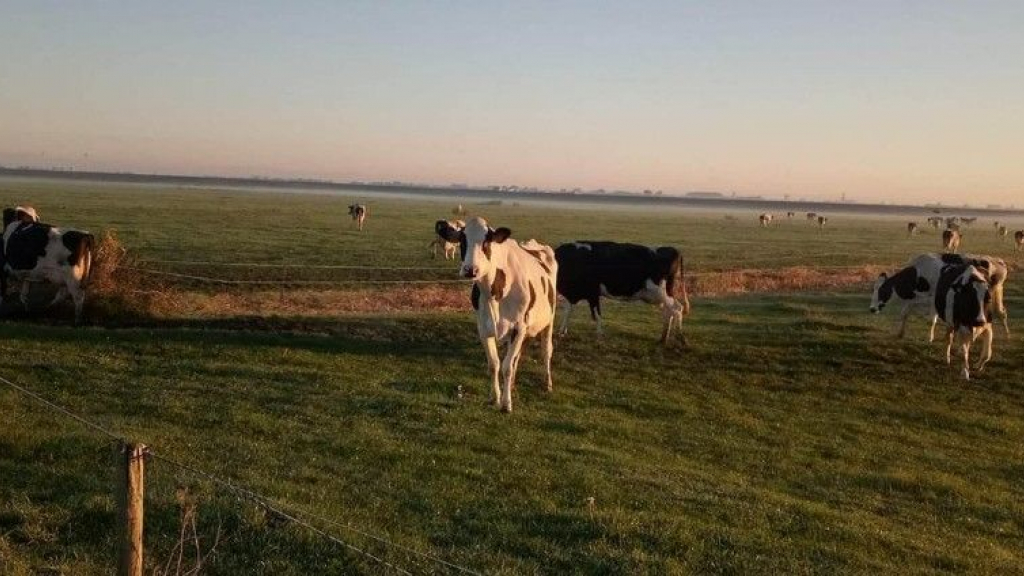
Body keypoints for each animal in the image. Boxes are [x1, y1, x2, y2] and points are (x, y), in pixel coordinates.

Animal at [459, 217, 558, 413]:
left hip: (549, 320)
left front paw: (506, 404)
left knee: (546, 350)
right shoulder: (484, 329)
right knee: (517, 356)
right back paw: (511, 385)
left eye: (487, 242)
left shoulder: (518, 328)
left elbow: (507, 367)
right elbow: (494, 364)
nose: (470, 270)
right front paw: (494, 397)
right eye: (462, 240)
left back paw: (547, 384)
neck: (493, 294)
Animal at [554, 241, 691, 345]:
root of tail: (672, 250)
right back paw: (663, 338)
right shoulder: (572, 294)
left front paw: (599, 335)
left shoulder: (592, 293)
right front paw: (561, 332)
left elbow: (597, 315)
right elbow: (567, 312)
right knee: (668, 311)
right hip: (660, 294)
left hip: (660, 291)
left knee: (677, 308)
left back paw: (681, 338)